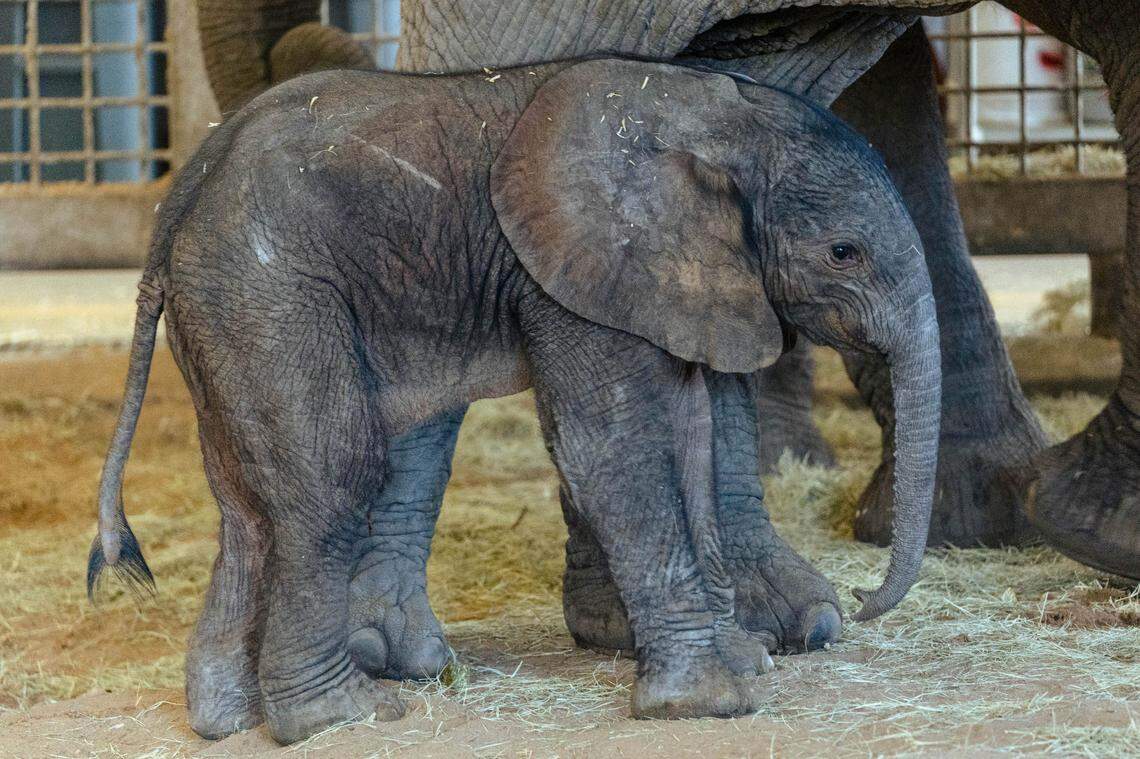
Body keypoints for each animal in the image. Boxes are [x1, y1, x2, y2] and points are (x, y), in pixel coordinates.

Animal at [87, 56, 942, 742]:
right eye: (843, 252)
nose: (863, 595)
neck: (713, 113)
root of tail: (176, 199)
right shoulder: (567, 269)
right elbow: (614, 449)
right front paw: (709, 701)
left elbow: (697, 428)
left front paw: (744, 660)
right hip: (268, 292)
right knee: (330, 478)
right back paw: (342, 716)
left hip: (226, 309)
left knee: (247, 511)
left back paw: (227, 721)